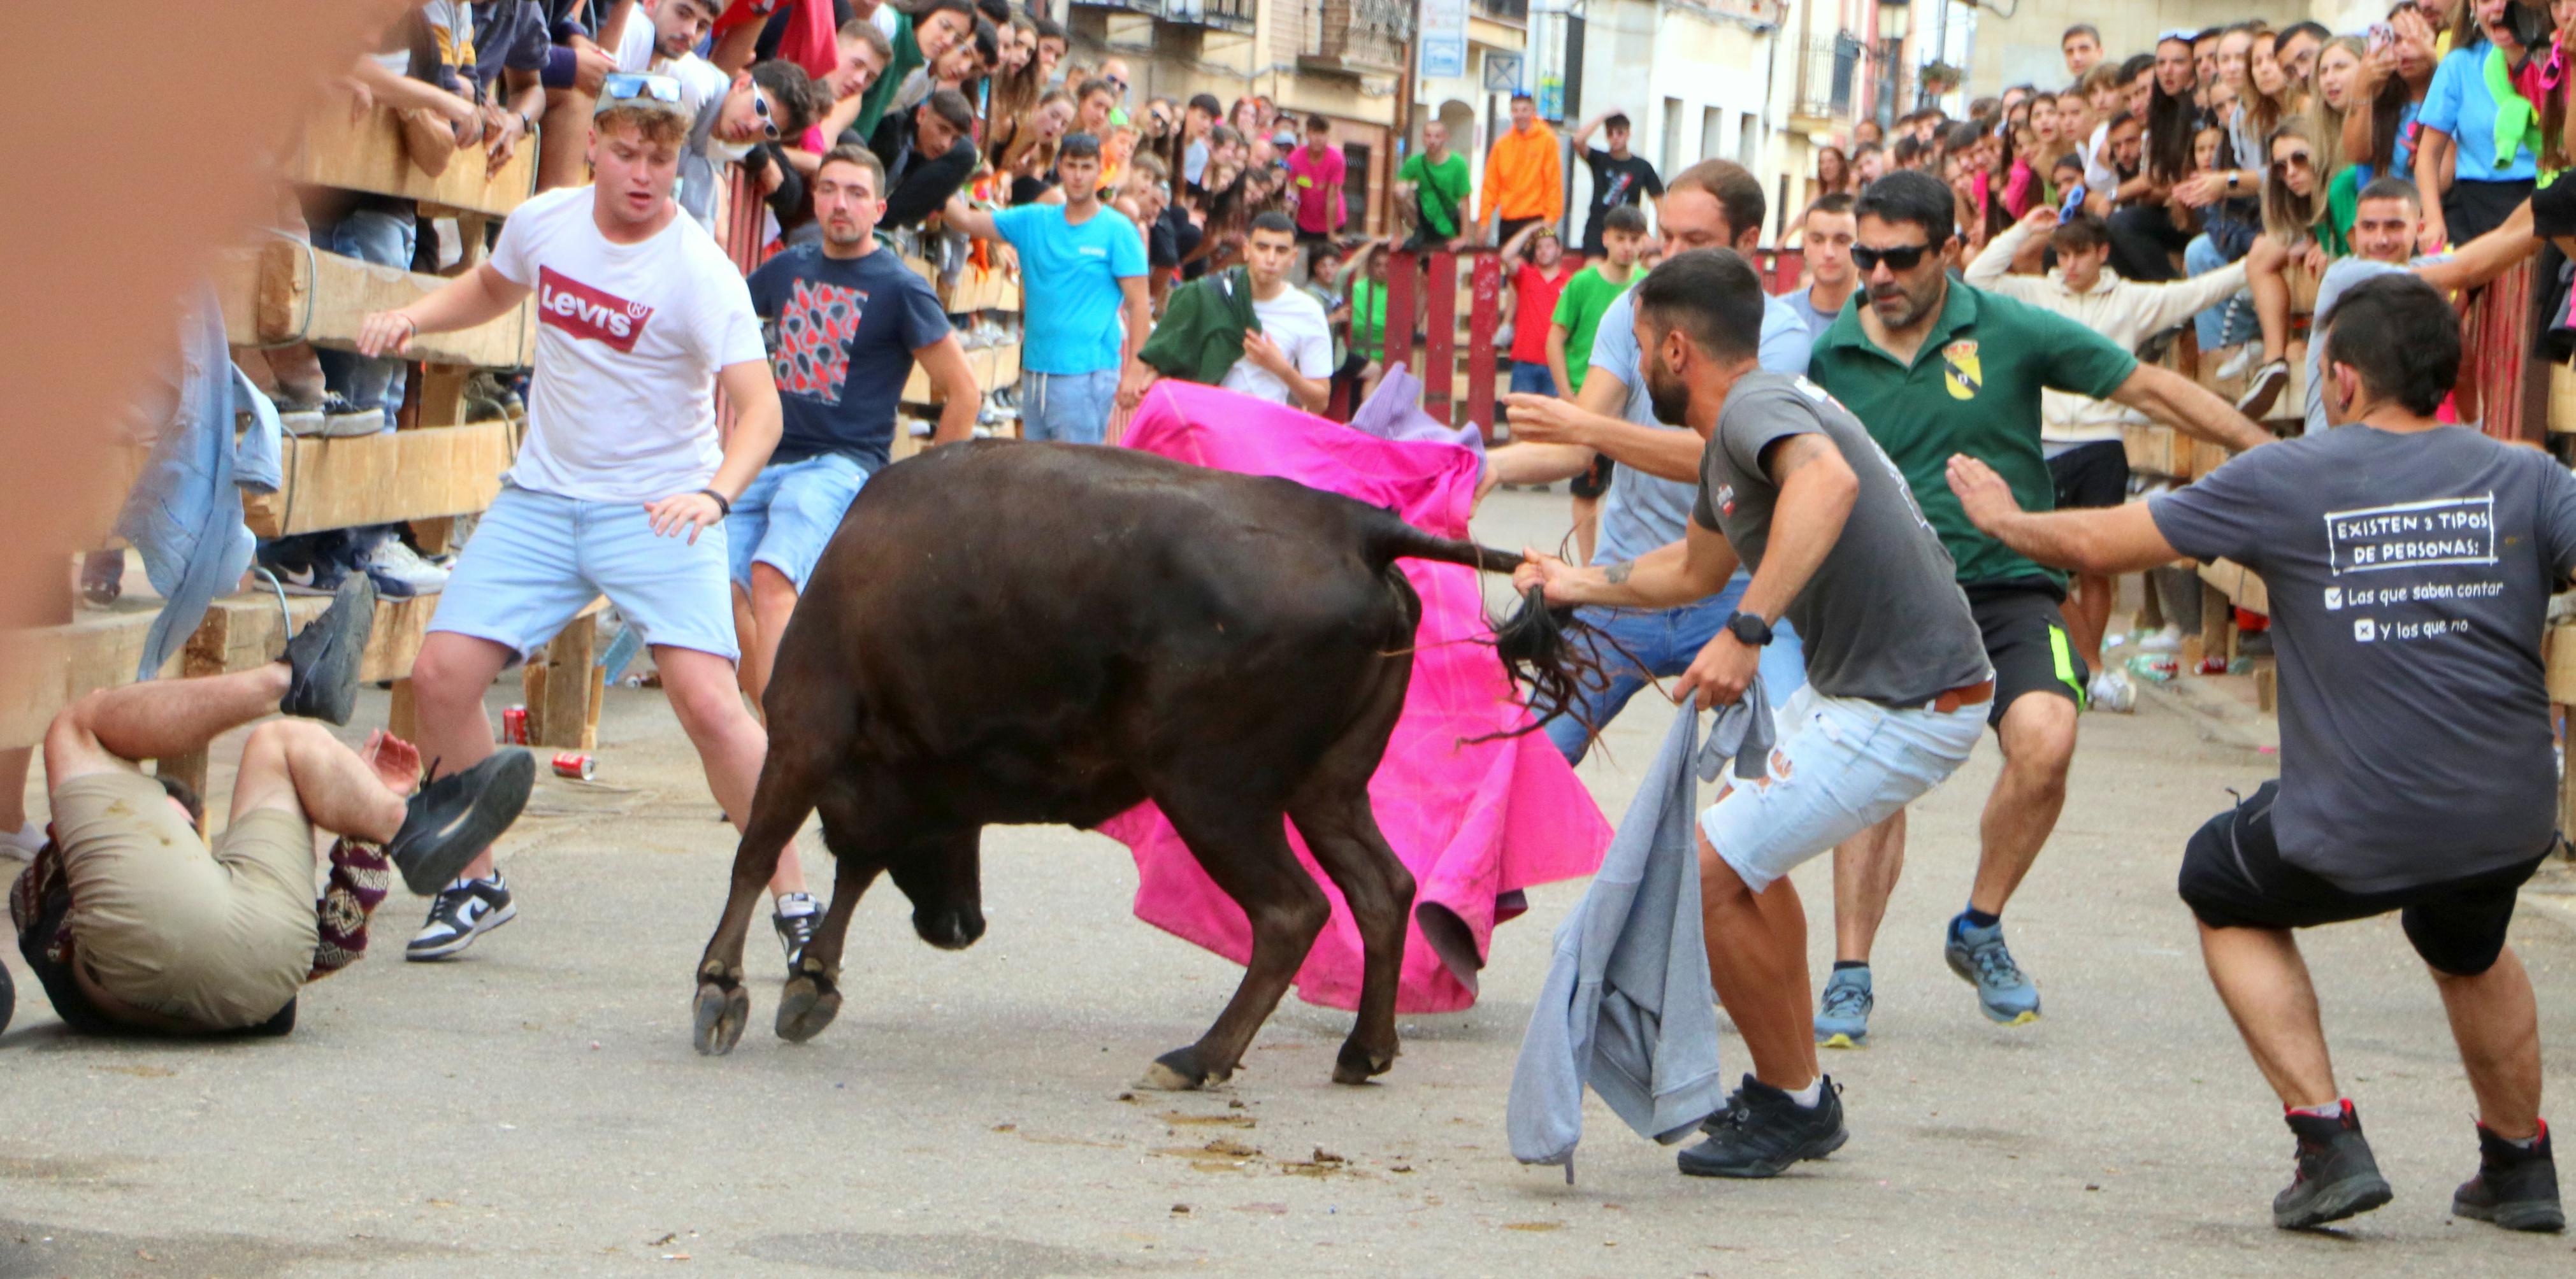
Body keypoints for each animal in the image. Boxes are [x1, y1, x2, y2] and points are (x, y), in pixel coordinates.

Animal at [690, 437, 1587, 1085]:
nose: (961, 926)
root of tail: (1354, 528)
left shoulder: (805, 732)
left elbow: (762, 851)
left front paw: (721, 989)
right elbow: (852, 864)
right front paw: (809, 984)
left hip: (1210, 793)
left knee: (1292, 910)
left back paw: (1199, 1059)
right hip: (1325, 789)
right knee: (1381, 890)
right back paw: (1361, 1052)